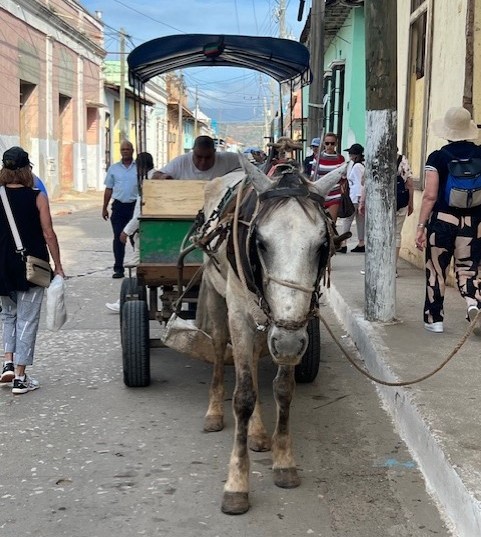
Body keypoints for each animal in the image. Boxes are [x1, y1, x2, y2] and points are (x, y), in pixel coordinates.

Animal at [195, 153, 344, 512]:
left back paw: (259, 433)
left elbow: (284, 389)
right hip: (216, 294)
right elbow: (244, 396)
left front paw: (283, 461)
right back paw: (214, 412)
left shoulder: (289, 329)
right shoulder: (240, 314)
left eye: (322, 245)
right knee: (220, 346)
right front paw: (237, 483)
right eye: (260, 243)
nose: (288, 342)